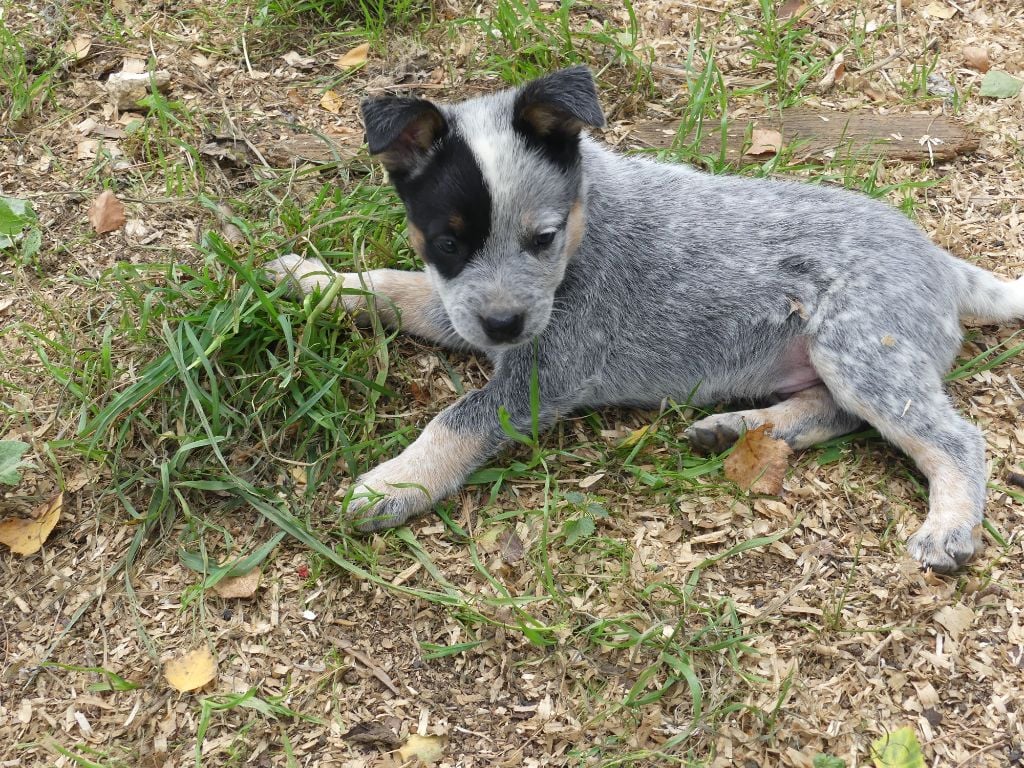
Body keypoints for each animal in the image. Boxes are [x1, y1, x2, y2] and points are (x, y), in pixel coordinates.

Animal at [266, 64, 1024, 573]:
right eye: (448, 243)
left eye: (542, 238)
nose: (506, 327)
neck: (584, 220)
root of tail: (939, 258)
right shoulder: (458, 304)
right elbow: (392, 288)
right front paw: (314, 280)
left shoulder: (543, 372)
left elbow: (456, 422)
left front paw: (397, 482)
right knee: (836, 413)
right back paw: (739, 428)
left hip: (860, 348)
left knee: (954, 438)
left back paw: (949, 526)